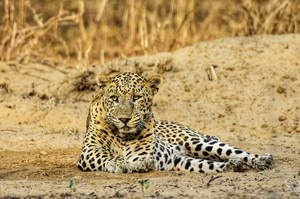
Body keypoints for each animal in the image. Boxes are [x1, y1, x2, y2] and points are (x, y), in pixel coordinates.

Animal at [77, 71, 274, 173]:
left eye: (137, 97)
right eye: (114, 98)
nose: (124, 119)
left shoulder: (145, 153)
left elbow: (139, 158)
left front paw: (135, 164)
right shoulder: (88, 151)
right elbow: (106, 154)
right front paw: (120, 163)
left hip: (196, 142)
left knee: (235, 152)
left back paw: (262, 160)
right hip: (181, 160)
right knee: (208, 164)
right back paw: (232, 165)